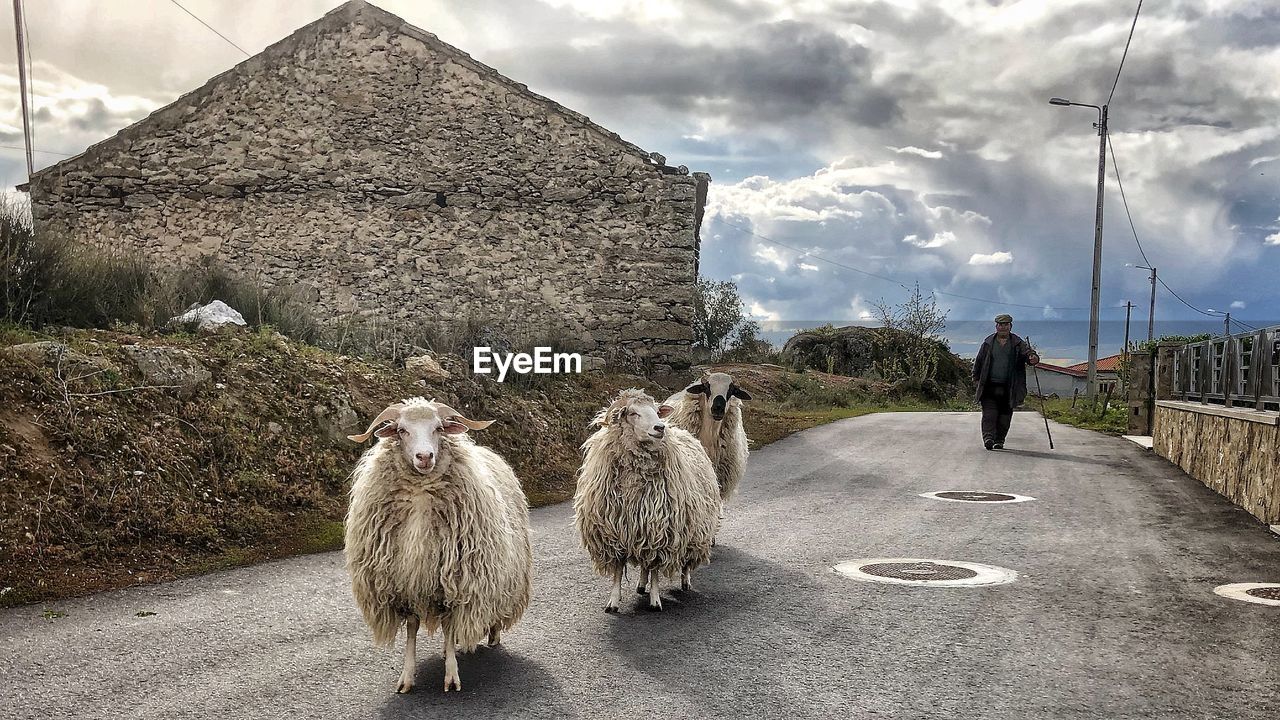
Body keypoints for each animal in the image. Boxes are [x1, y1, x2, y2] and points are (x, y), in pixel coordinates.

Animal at [343, 394, 532, 691]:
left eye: (439, 428)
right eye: (401, 430)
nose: (424, 457)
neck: (421, 494)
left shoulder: (457, 581)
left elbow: (450, 626)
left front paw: (452, 676)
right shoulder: (406, 583)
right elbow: (412, 630)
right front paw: (406, 678)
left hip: (503, 576)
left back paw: (492, 636)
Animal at [573, 386, 721, 609]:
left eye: (657, 411)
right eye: (633, 413)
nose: (660, 427)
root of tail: (684, 432)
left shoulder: (661, 531)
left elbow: (655, 571)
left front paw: (655, 599)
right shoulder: (617, 532)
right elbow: (618, 571)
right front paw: (613, 601)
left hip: (694, 530)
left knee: (685, 561)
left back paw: (685, 581)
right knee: (644, 563)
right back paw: (641, 585)